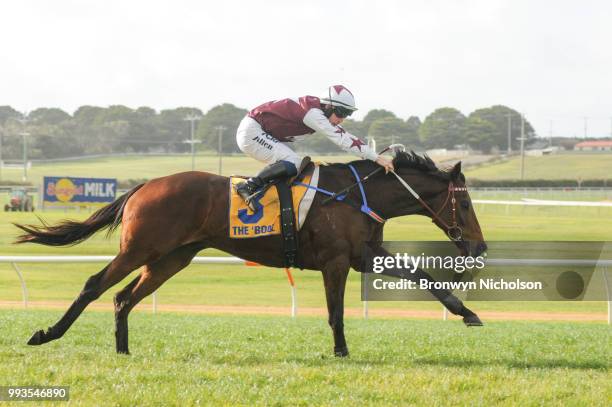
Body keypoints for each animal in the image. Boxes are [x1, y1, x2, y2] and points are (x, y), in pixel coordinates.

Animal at [13, 152, 488, 356]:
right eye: (465, 203)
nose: (480, 246)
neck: (358, 195)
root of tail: (144, 186)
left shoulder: (365, 254)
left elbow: (422, 275)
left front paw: (467, 313)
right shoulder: (335, 262)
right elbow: (336, 312)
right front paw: (341, 352)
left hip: (172, 257)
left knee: (123, 297)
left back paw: (123, 351)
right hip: (141, 248)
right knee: (95, 285)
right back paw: (46, 334)